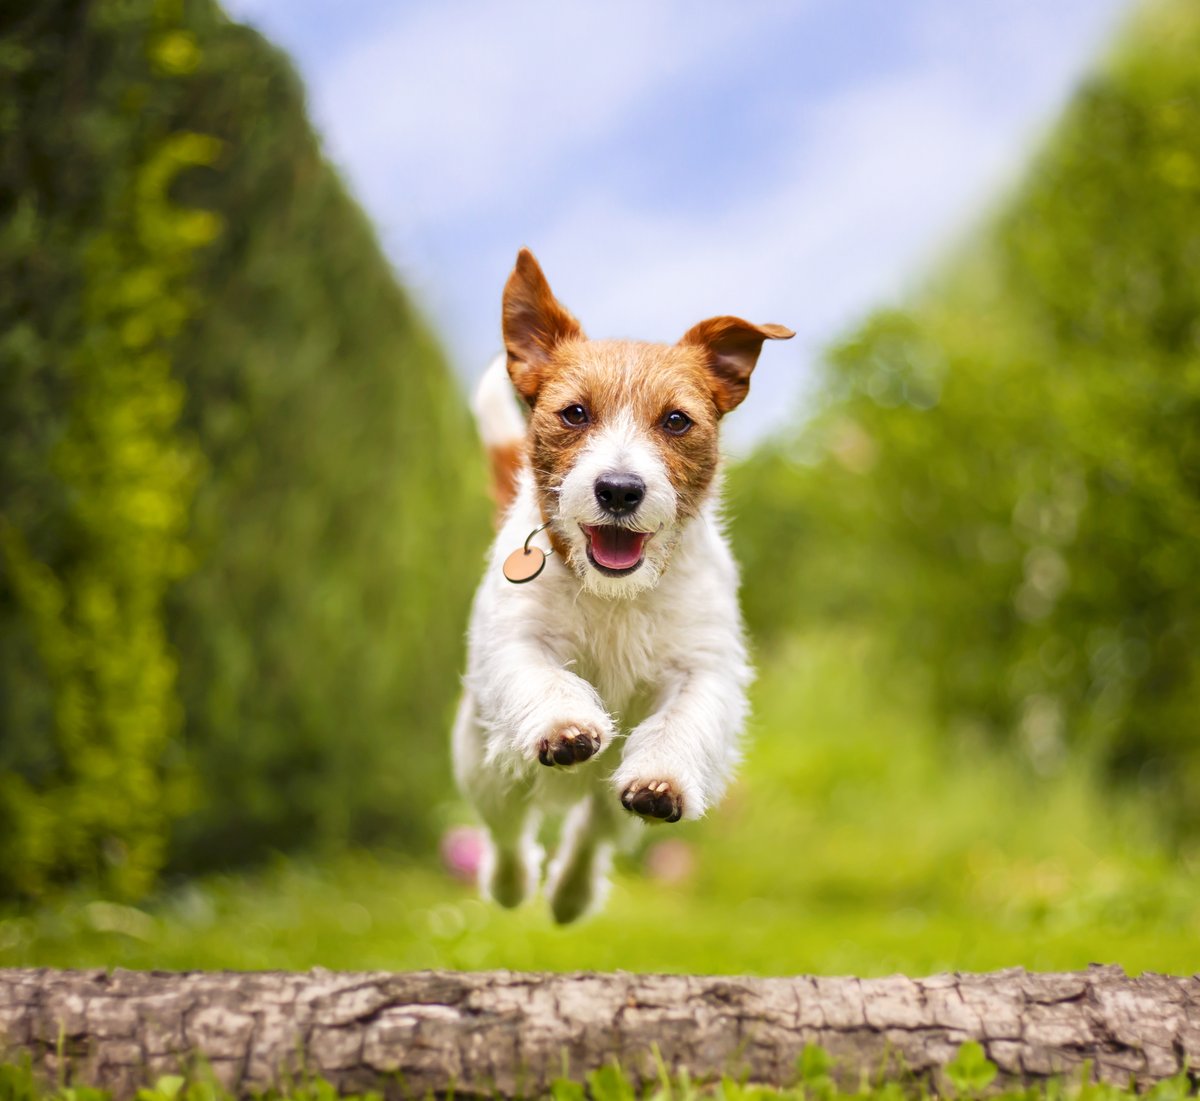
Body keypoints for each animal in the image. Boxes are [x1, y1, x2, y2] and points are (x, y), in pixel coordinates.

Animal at [451, 248, 787, 921]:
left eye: (677, 421)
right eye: (575, 413)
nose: (619, 490)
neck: (617, 594)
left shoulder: (703, 666)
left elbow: (681, 718)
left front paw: (662, 779)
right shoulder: (518, 640)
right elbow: (545, 677)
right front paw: (564, 725)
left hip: (604, 802)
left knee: (591, 833)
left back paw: (570, 895)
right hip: (485, 766)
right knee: (508, 830)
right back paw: (510, 886)